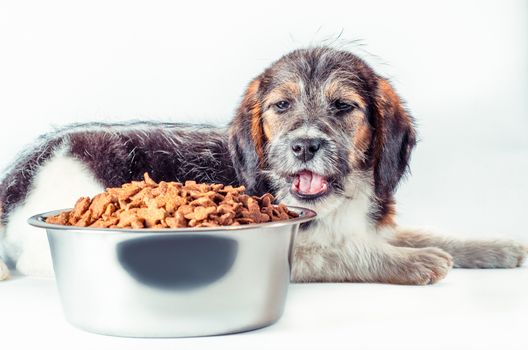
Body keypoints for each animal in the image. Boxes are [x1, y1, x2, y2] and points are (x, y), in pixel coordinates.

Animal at [0, 46, 524, 282]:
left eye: (343, 107)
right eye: (281, 106)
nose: (305, 146)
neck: (339, 202)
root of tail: (17, 175)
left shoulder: (369, 222)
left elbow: (427, 232)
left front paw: (494, 247)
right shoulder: (303, 248)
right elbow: (345, 252)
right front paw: (413, 262)